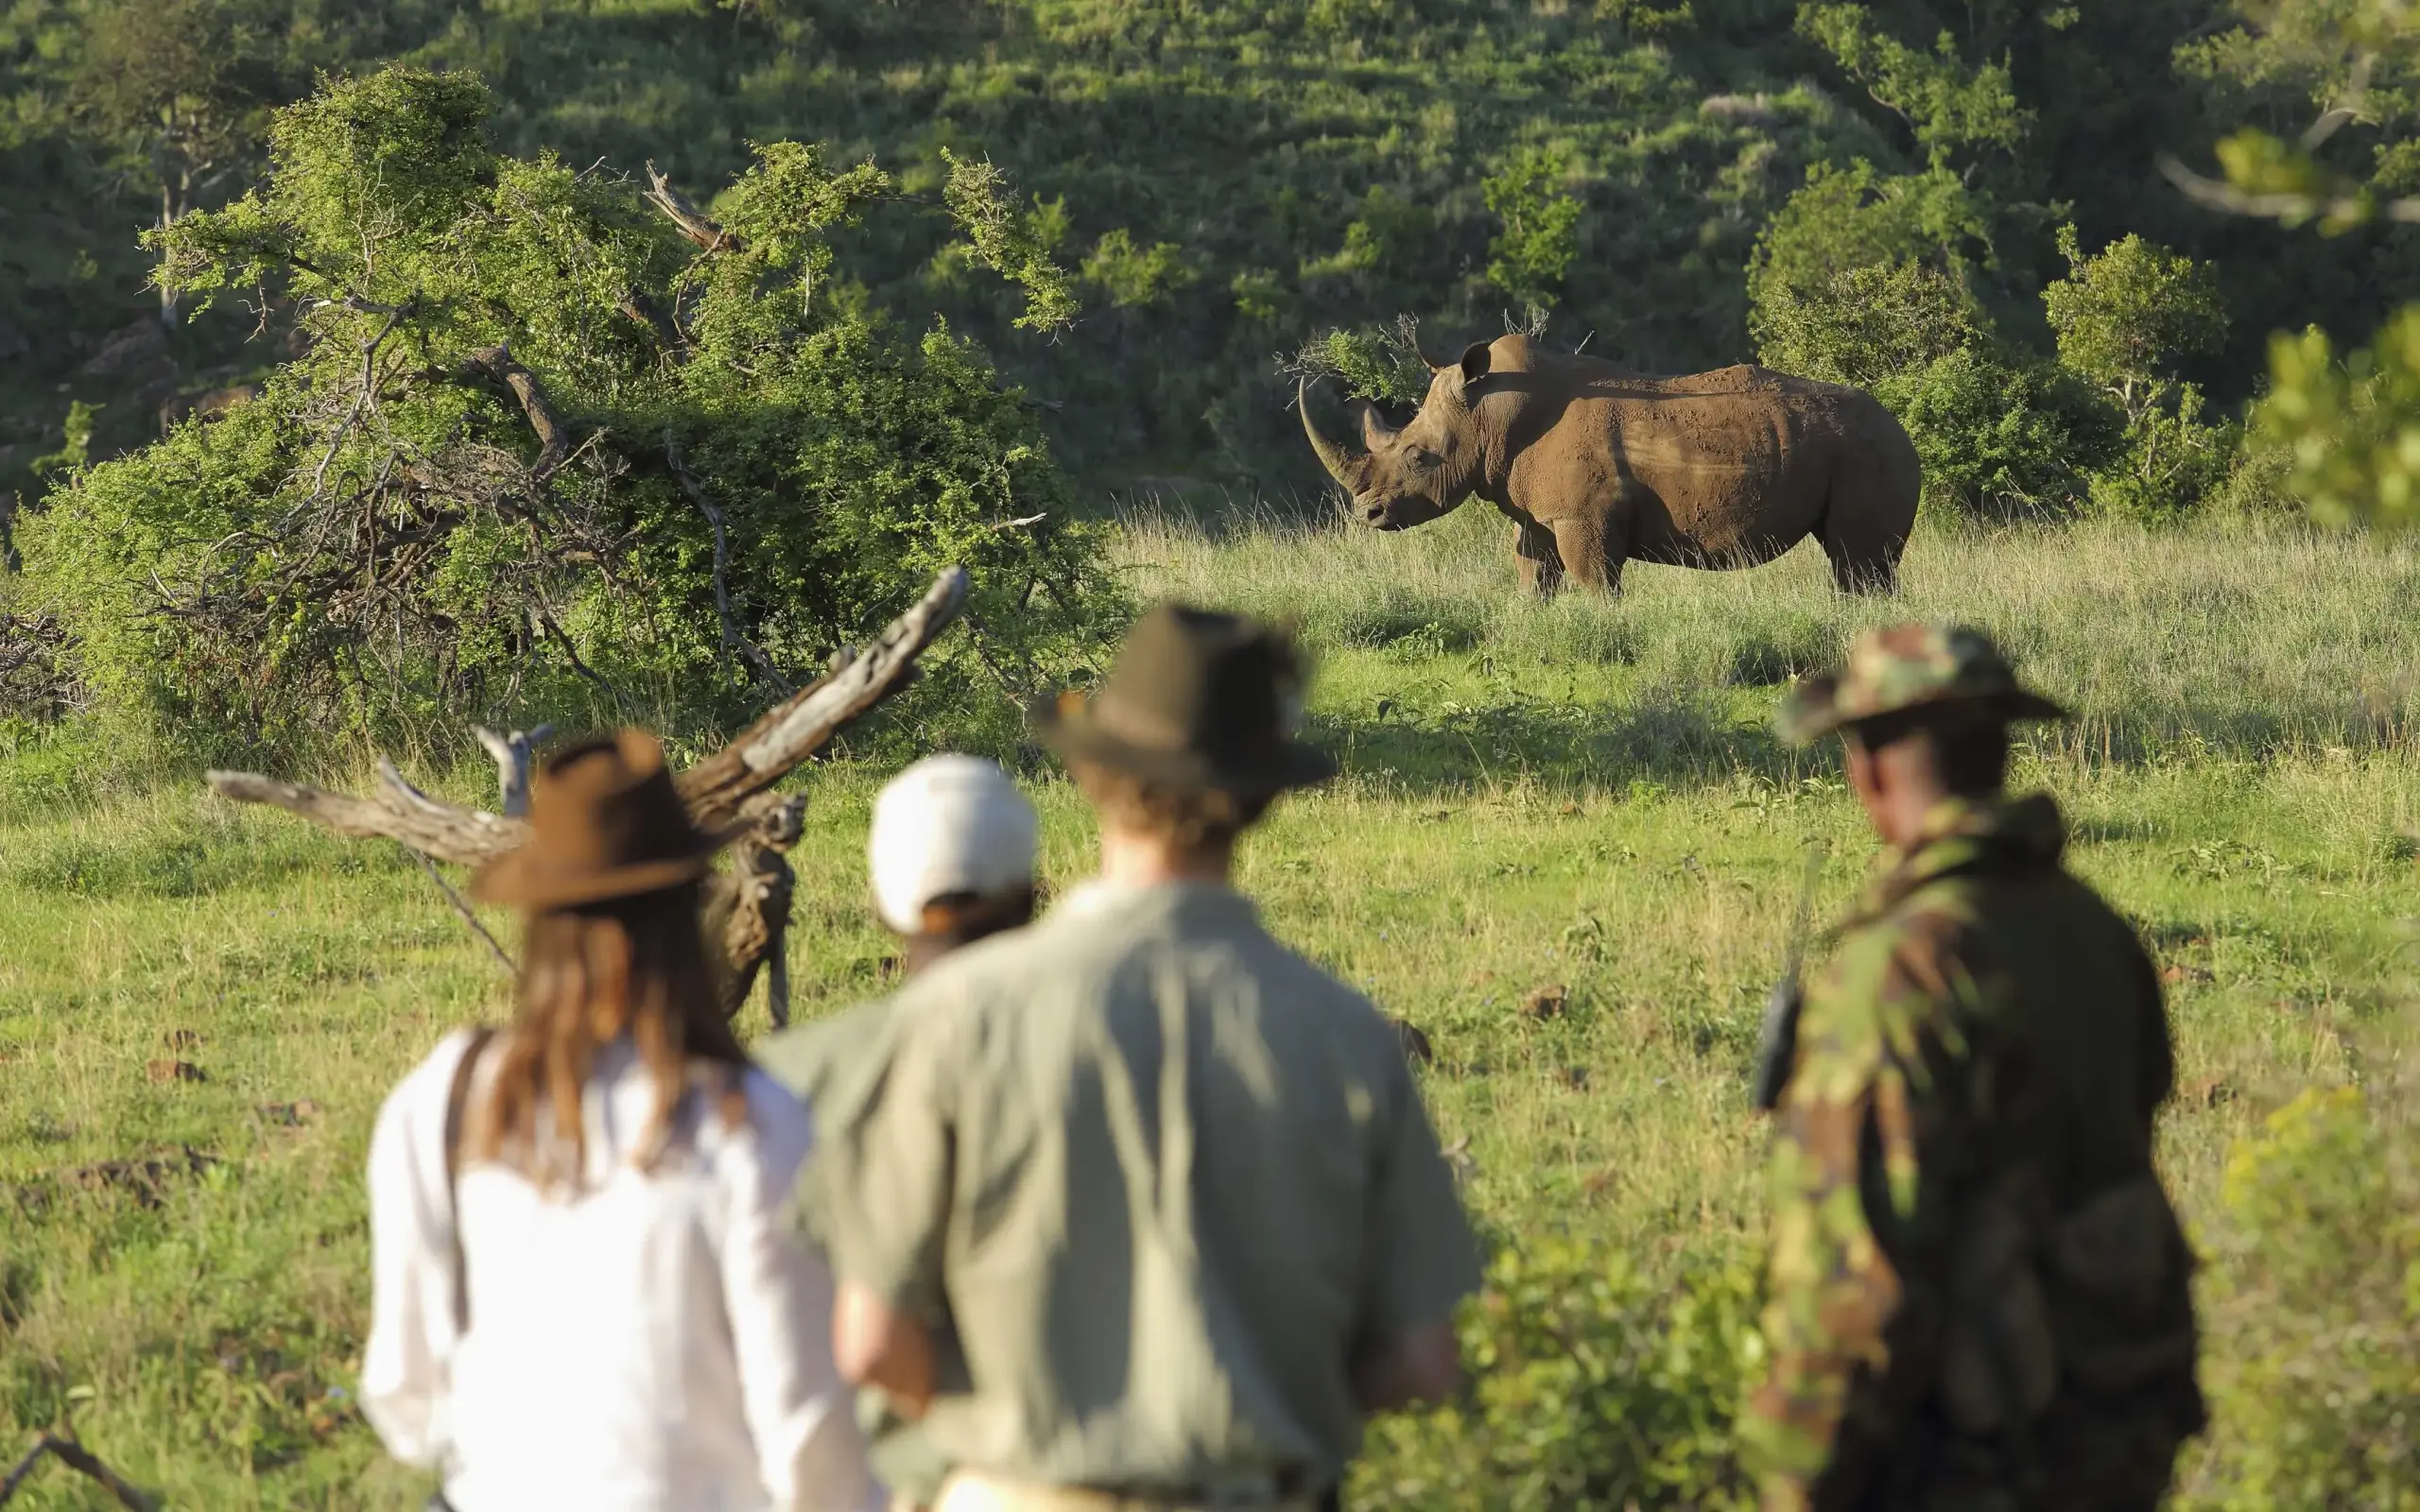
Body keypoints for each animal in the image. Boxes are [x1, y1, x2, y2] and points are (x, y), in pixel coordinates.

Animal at [1300, 334, 1920, 595]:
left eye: (1418, 457)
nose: (1367, 515)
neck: (1490, 413)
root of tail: (1903, 428)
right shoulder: (1543, 515)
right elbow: (1532, 573)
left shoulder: (1584, 518)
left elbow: (1595, 583)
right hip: (1860, 449)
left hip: (1871, 453)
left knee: (1858, 564)